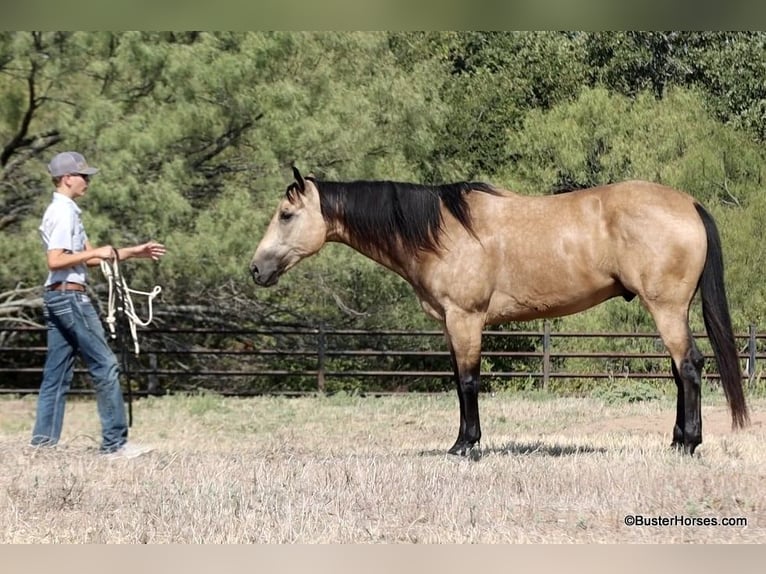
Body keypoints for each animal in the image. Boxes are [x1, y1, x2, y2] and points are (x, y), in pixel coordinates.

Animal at [249, 167, 749, 456]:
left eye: (286, 215)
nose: (256, 268)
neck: (439, 232)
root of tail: (688, 203)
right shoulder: (451, 325)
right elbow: (458, 381)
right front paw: (462, 442)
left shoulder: (465, 318)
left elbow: (468, 382)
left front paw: (465, 447)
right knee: (680, 371)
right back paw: (676, 439)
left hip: (666, 308)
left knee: (690, 366)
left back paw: (688, 444)